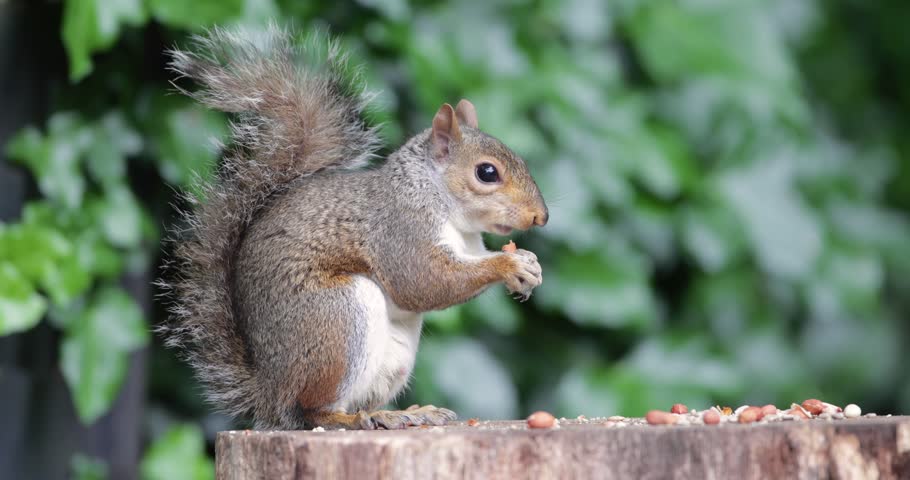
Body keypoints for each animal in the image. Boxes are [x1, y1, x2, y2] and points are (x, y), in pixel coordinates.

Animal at [158, 27, 548, 430]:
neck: (440, 201)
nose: (541, 217)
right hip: (337, 321)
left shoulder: (468, 247)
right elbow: (424, 281)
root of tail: (270, 392)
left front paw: (530, 266)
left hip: (392, 354)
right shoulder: (399, 229)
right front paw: (509, 265)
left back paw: (401, 413)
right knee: (313, 411)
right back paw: (356, 418)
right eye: (486, 172)